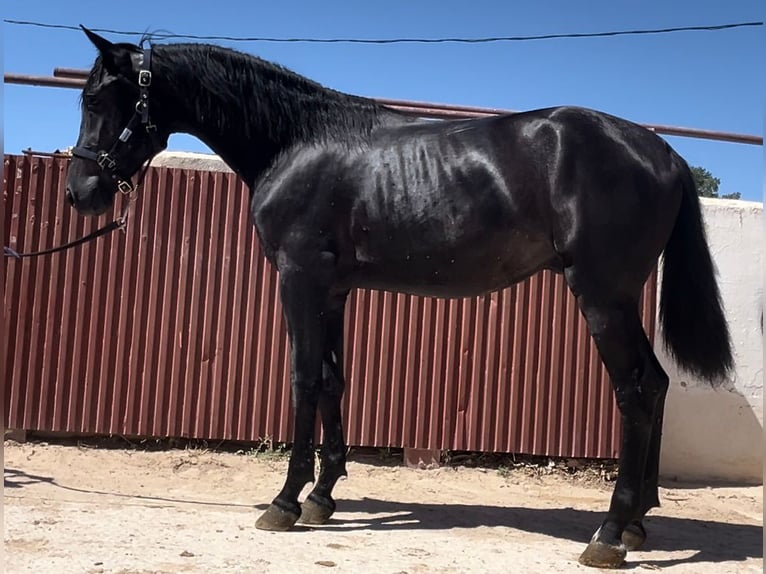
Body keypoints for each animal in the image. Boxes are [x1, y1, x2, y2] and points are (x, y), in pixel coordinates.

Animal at [64, 29, 732, 568]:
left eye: (96, 100)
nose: (80, 193)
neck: (297, 142)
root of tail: (663, 151)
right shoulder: (333, 289)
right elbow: (333, 381)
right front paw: (323, 497)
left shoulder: (298, 279)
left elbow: (303, 380)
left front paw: (285, 502)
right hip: (620, 298)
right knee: (657, 383)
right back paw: (639, 522)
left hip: (601, 297)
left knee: (635, 392)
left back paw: (610, 534)